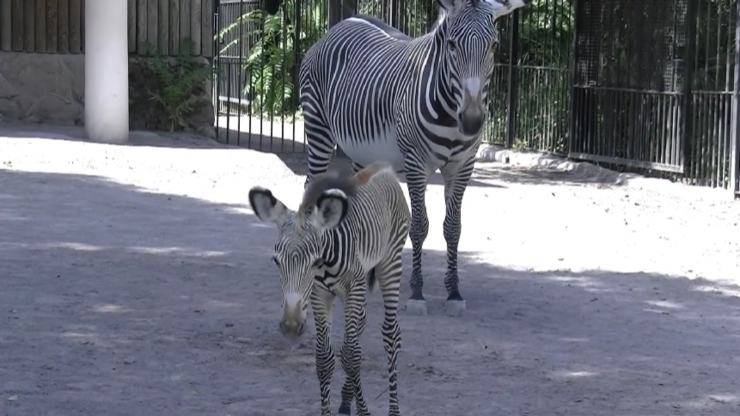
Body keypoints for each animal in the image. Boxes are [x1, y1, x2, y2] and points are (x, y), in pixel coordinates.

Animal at [249, 163, 410, 416]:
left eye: (315, 261)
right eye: (276, 261)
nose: (291, 327)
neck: (326, 263)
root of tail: (384, 167)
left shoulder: (352, 287)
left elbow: (352, 356)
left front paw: (363, 410)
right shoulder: (319, 294)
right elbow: (325, 358)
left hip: (390, 264)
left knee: (391, 334)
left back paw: (393, 409)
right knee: (359, 326)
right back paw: (346, 400)